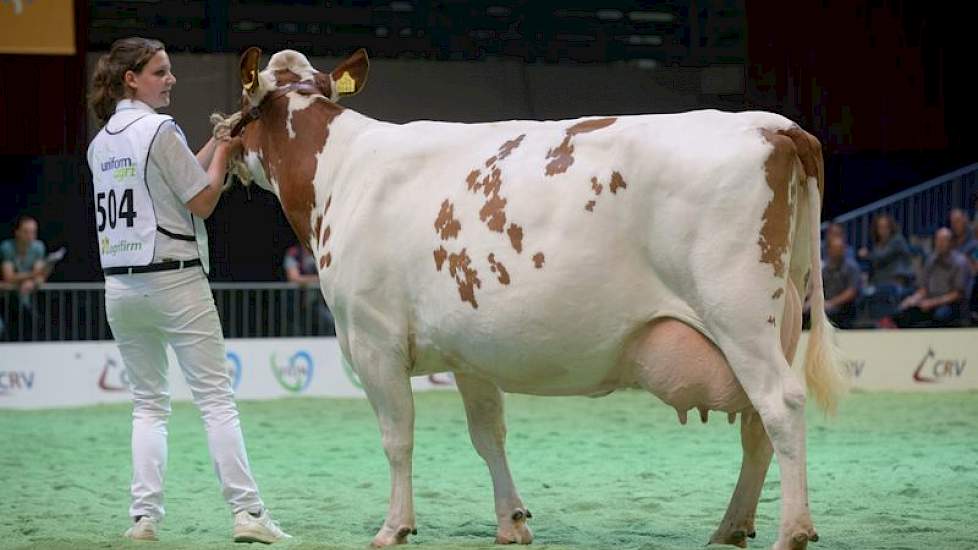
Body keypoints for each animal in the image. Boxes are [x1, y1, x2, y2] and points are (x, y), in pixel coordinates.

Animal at [217, 48, 844, 550]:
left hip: (738, 313)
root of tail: (771, 125)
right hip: (778, 318)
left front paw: (394, 527)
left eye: (244, 98)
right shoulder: (470, 351)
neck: (342, 170)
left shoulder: (371, 338)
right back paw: (731, 527)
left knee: (780, 405)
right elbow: (487, 435)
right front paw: (511, 522)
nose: (222, 135)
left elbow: (398, 438)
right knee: (757, 427)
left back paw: (792, 531)